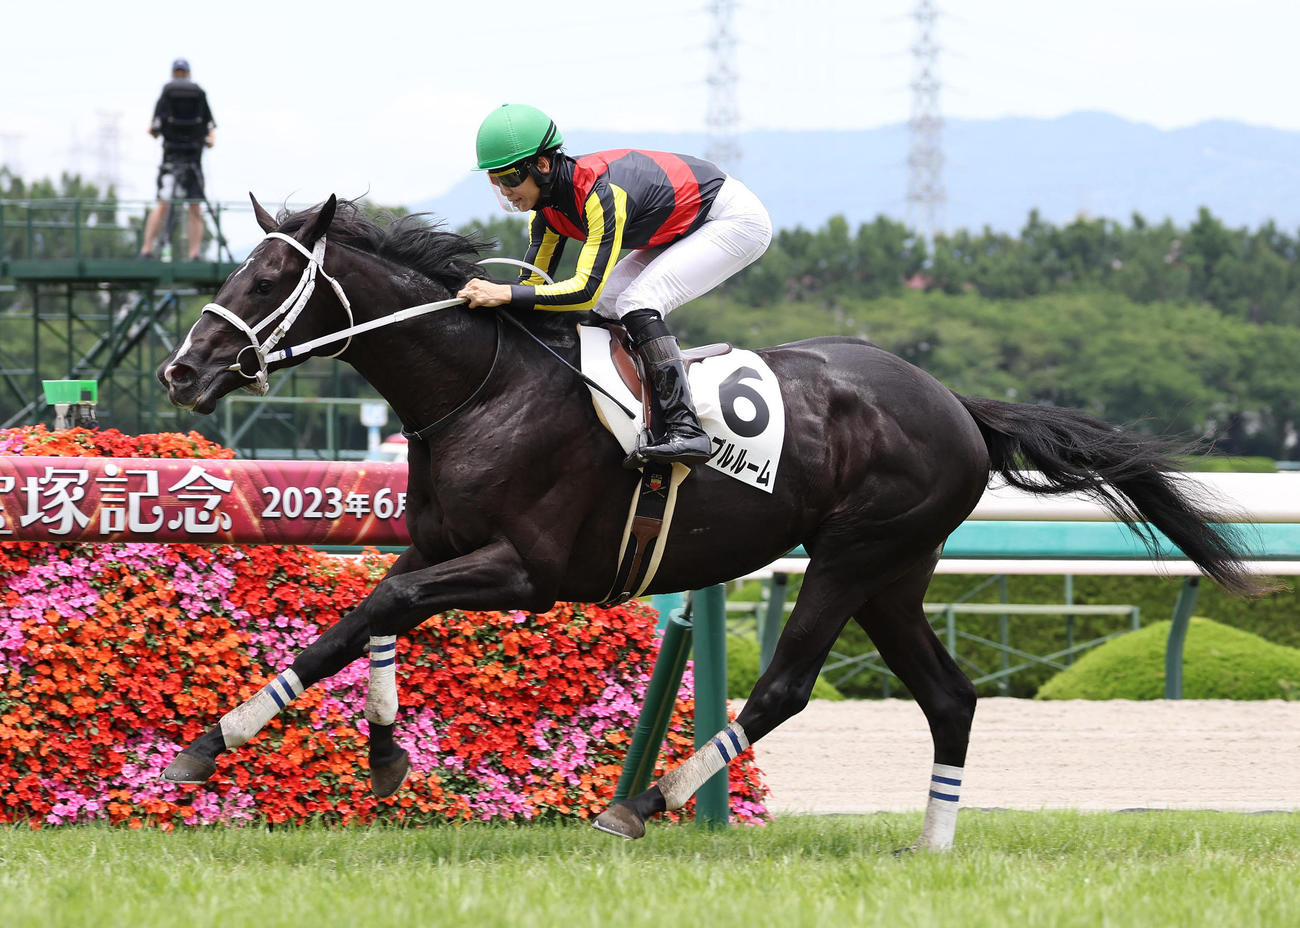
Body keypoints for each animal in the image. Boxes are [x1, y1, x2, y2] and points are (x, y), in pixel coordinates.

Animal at [156, 194, 1266, 850]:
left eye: (267, 278)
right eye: (234, 269)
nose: (182, 370)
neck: (483, 388)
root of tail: (956, 403)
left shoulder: (524, 570)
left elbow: (372, 610)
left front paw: (215, 744)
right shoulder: (439, 545)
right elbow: (369, 618)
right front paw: (357, 752)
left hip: (850, 554)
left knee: (785, 686)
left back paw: (641, 803)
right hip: (894, 573)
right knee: (949, 697)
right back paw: (932, 843)